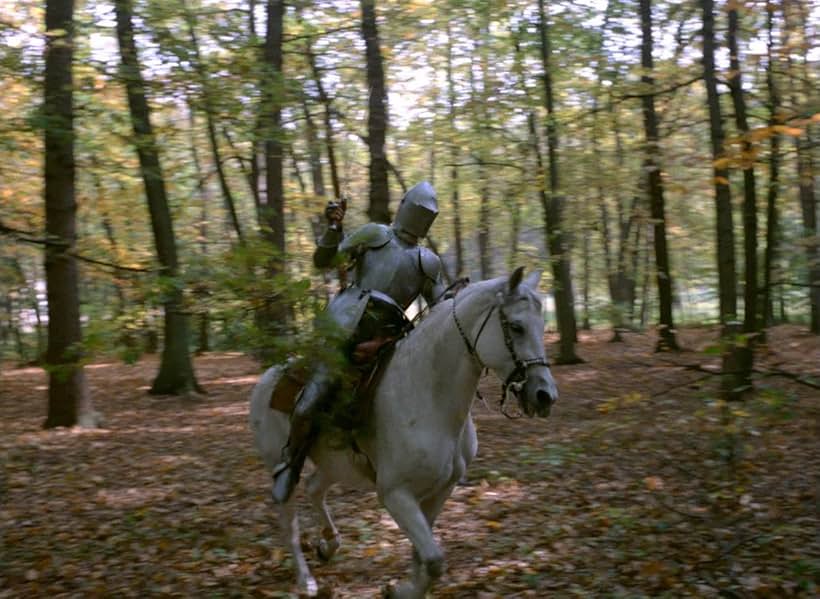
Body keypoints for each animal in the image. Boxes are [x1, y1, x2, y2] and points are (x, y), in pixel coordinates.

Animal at [250, 270, 556, 596]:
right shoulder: (395, 495)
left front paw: (403, 589)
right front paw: (400, 591)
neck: (428, 394)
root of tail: (266, 378)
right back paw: (305, 580)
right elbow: (433, 559)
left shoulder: (440, 489)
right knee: (289, 520)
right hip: (281, 461)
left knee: (314, 488)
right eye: (516, 326)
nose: (544, 396)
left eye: (542, 326)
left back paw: (329, 544)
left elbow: (423, 556)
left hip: (337, 465)